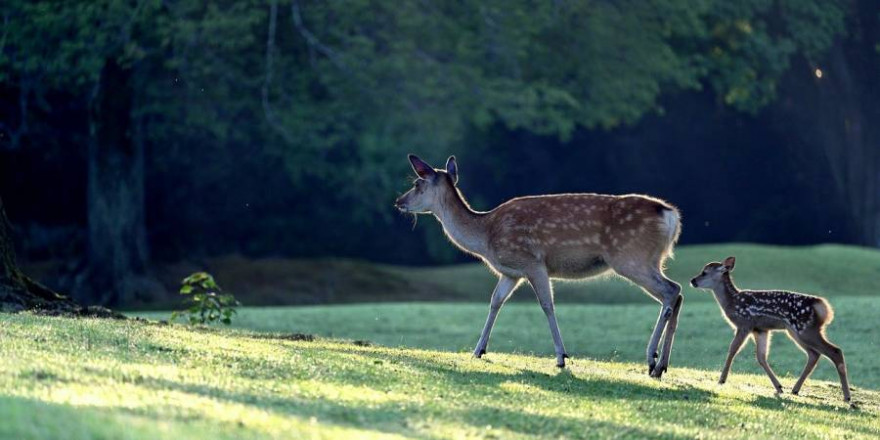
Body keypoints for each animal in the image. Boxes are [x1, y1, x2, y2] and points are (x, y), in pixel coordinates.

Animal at [396, 156, 684, 378]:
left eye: (417, 184)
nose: (398, 202)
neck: (486, 235)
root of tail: (671, 216)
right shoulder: (510, 273)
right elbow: (495, 301)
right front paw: (478, 350)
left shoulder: (532, 262)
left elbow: (547, 304)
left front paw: (561, 357)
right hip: (649, 260)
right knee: (677, 293)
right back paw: (661, 365)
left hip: (630, 257)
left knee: (671, 290)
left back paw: (651, 359)